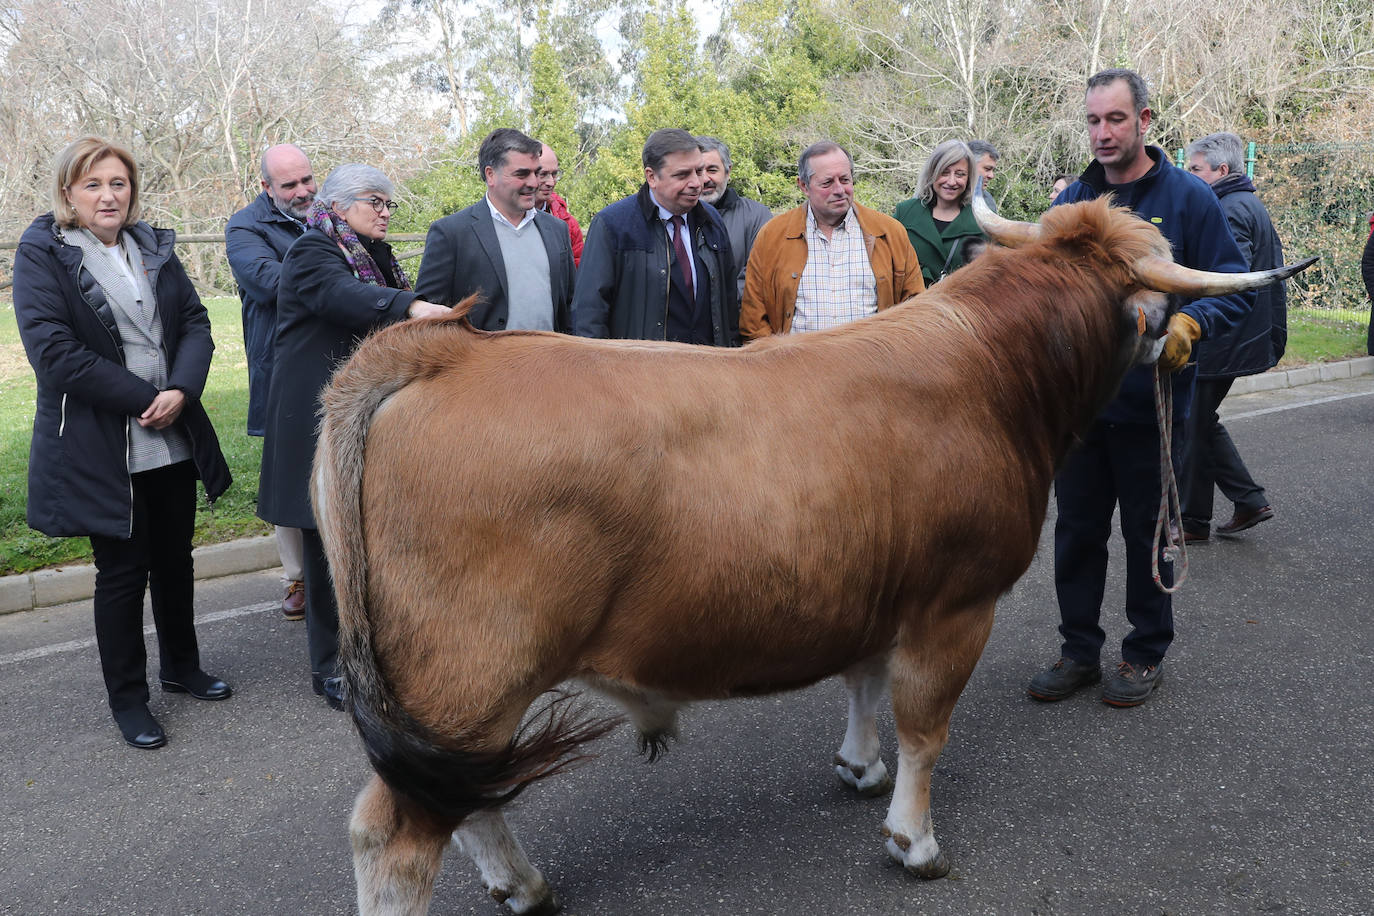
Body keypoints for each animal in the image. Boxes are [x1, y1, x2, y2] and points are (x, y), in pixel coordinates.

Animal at [311, 197, 1308, 911]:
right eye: (1157, 307)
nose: (1181, 343)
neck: (991, 372)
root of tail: (443, 352)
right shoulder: (956, 604)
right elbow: (925, 725)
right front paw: (914, 841)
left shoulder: (876, 589)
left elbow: (863, 685)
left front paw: (860, 769)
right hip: (469, 672)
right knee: (394, 834)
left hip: (452, 701)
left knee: (465, 800)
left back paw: (521, 884)